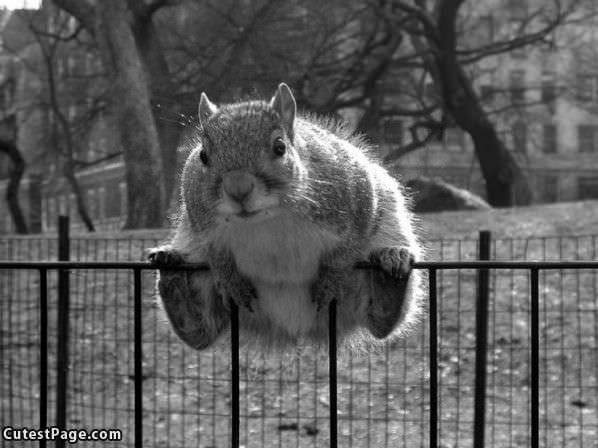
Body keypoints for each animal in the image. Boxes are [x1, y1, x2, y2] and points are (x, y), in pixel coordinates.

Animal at [149, 82, 426, 352]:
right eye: (203, 156)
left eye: (280, 147)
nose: (238, 189)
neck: (268, 218)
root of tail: (296, 327)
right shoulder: (199, 221)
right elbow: (215, 254)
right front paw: (229, 279)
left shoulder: (357, 195)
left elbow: (351, 242)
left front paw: (331, 276)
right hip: (199, 269)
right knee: (200, 332)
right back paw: (171, 271)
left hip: (384, 235)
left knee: (380, 321)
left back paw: (390, 271)